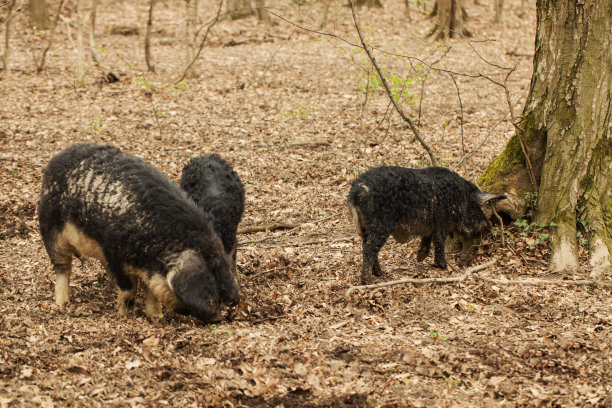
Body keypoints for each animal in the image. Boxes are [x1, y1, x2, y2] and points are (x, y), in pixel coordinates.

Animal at [37, 143, 239, 322]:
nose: (218, 318)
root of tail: (58, 156)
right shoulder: (114, 253)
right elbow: (128, 289)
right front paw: (126, 316)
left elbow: (152, 292)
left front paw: (156, 317)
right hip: (51, 228)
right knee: (62, 267)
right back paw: (62, 304)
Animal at [346, 164, 504, 282]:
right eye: (477, 207)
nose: (488, 226)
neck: (460, 198)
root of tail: (356, 190)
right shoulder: (442, 221)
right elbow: (439, 242)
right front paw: (443, 266)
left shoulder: (430, 224)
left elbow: (427, 238)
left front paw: (419, 258)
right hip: (380, 226)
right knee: (369, 249)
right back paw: (369, 280)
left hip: (367, 228)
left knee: (369, 248)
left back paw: (380, 273)